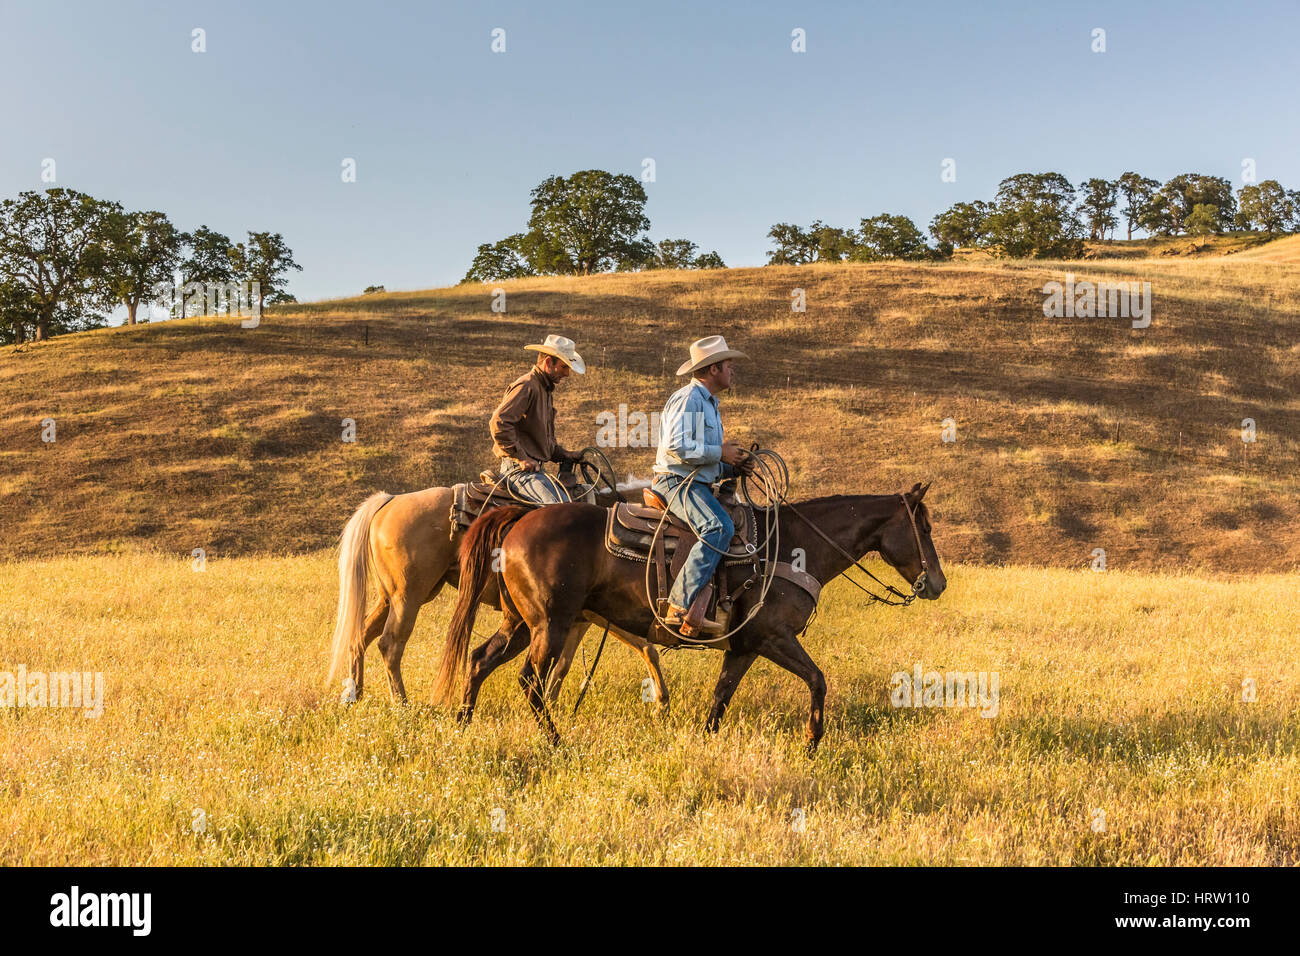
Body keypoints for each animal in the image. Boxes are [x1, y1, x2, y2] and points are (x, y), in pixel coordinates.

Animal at [325, 469, 671, 707]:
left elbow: (563, 665)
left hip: (391, 596)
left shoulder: (580, 619)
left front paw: (553, 702)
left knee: (360, 635)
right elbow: (648, 649)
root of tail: (390, 500)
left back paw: (354, 695)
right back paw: (402, 703)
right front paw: (661, 702)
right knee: (390, 645)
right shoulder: (594, 616)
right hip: (407, 597)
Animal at [435, 480, 946, 752]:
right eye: (923, 527)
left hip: (520, 624)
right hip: (551, 624)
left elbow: (721, 697)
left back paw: (462, 724)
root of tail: (519, 518)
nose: (937, 584)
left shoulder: (744, 647)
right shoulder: (773, 637)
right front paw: (812, 743)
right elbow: (818, 679)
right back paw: (557, 742)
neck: (795, 546)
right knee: (530, 681)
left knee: (480, 659)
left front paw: (706, 738)